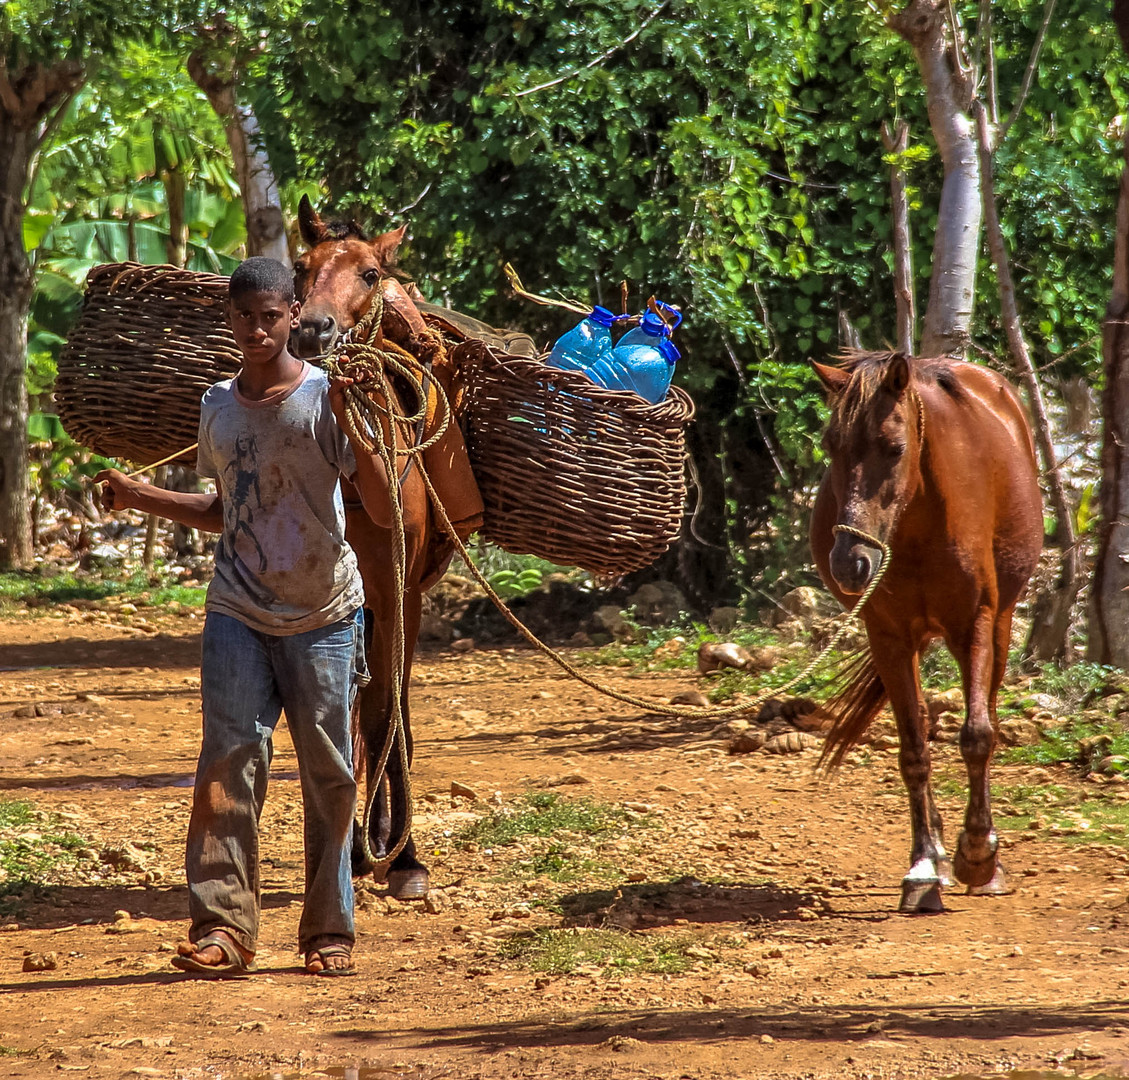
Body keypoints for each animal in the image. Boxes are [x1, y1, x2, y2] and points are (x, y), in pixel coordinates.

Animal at [289, 191, 483, 893]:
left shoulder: (400, 592)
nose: (312, 332)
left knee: (387, 703)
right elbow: (346, 713)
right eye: (301, 267)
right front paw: (351, 846)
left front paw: (404, 859)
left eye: (370, 274)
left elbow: (387, 710)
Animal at [812, 352, 1038, 911]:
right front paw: (923, 867)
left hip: (1000, 626)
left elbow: (978, 736)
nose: (850, 563)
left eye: (894, 448)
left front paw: (978, 855)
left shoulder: (974, 625)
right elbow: (913, 751)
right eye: (830, 446)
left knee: (988, 713)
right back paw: (935, 849)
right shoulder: (888, 637)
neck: (916, 525)